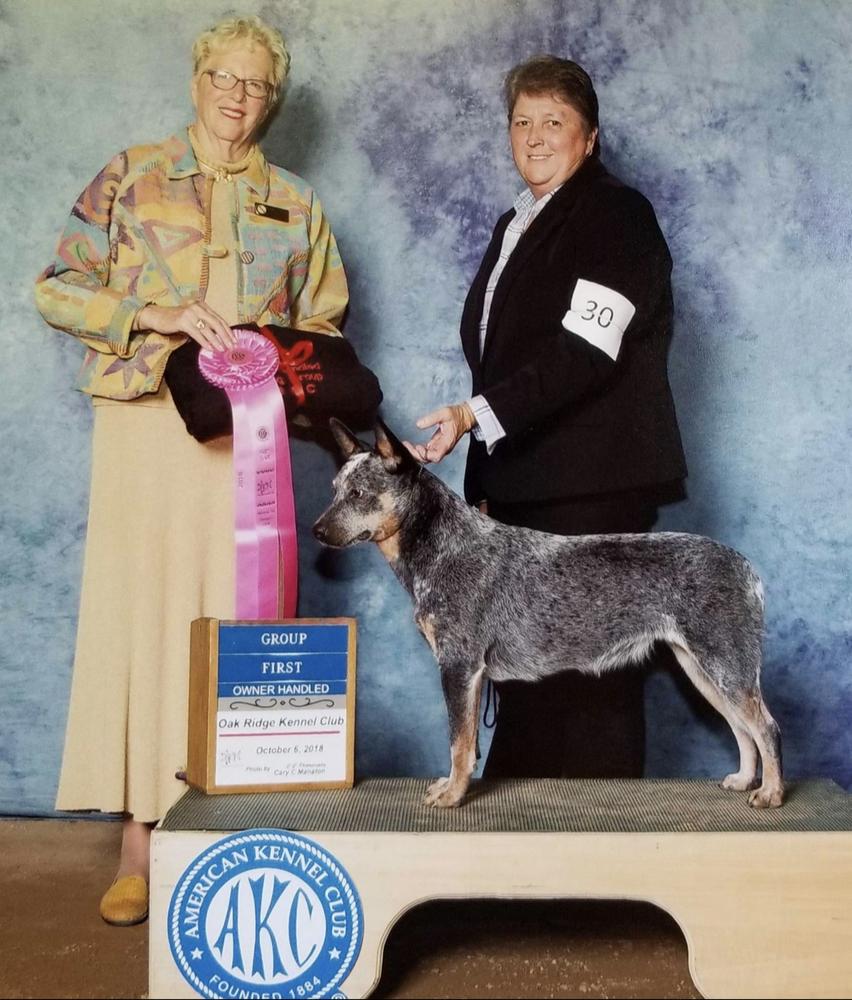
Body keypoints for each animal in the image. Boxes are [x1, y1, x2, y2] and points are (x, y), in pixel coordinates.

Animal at [312, 418, 784, 808]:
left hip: (725, 665)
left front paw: (452, 794)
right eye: (334, 489)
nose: (316, 530)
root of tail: (747, 567)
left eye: (358, 493)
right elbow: (466, 741)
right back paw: (745, 780)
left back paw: (772, 793)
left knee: (766, 727)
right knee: (741, 727)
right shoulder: (469, 674)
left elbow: (459, 743)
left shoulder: (459, 667)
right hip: (703, 670)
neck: (442, 547)